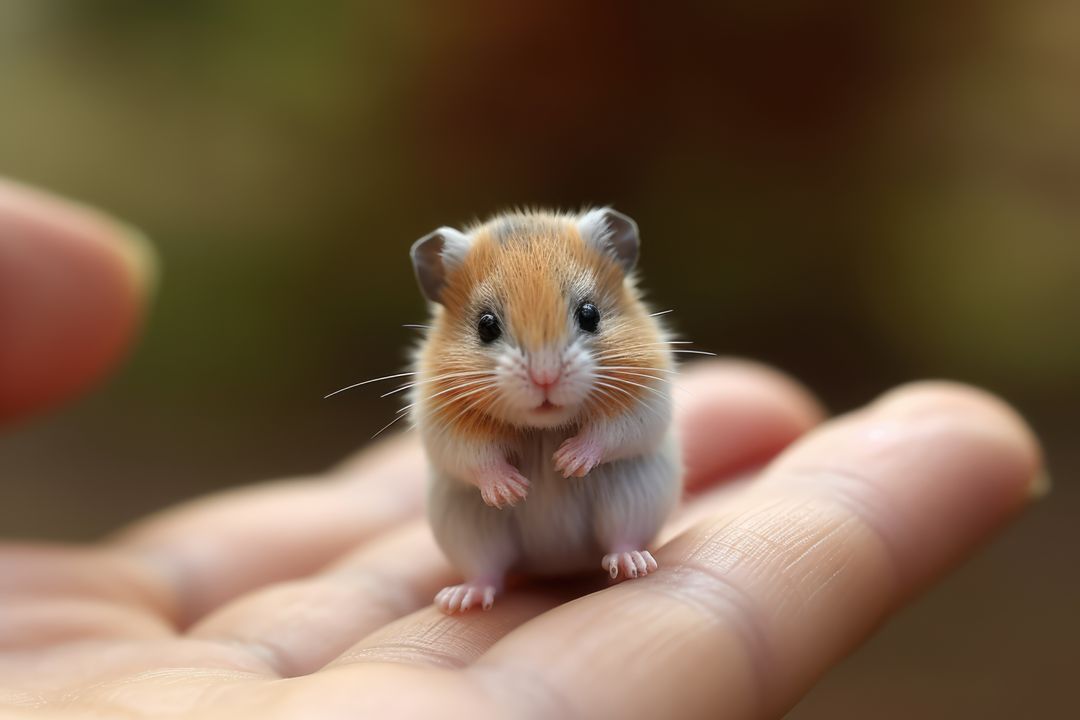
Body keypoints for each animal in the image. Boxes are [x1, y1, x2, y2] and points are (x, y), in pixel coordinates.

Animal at [408, 207, 678, 613]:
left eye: (590, 314)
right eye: (486, 325)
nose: (545, 377)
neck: (544, 427)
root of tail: (557, 565)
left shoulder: (647, 397)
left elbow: (612, 431)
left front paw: (567, 463)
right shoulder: (441, 418)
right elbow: (474, 455)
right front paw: (512, 489)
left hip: (633, 499)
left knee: (622, 537)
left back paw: (633, 564)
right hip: (467, 528)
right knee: (486, 569)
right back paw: (460, 600)